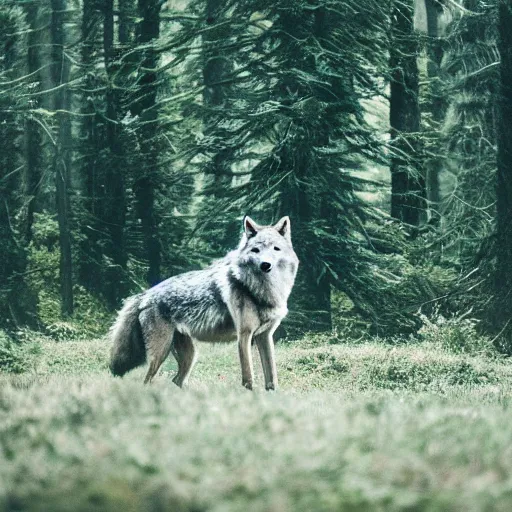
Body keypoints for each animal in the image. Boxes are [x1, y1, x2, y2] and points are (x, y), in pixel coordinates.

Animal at [110, 215, 298, 388]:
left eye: (275, 249)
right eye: (256, 250)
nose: (265, 265)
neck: (261, 291)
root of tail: (145, 295)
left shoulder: (265, 336)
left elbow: (272, 378)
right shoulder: (244, 336)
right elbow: (248, 379)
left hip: (190, 356)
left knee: (176, 380)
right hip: (161, 354)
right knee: (147, 381)